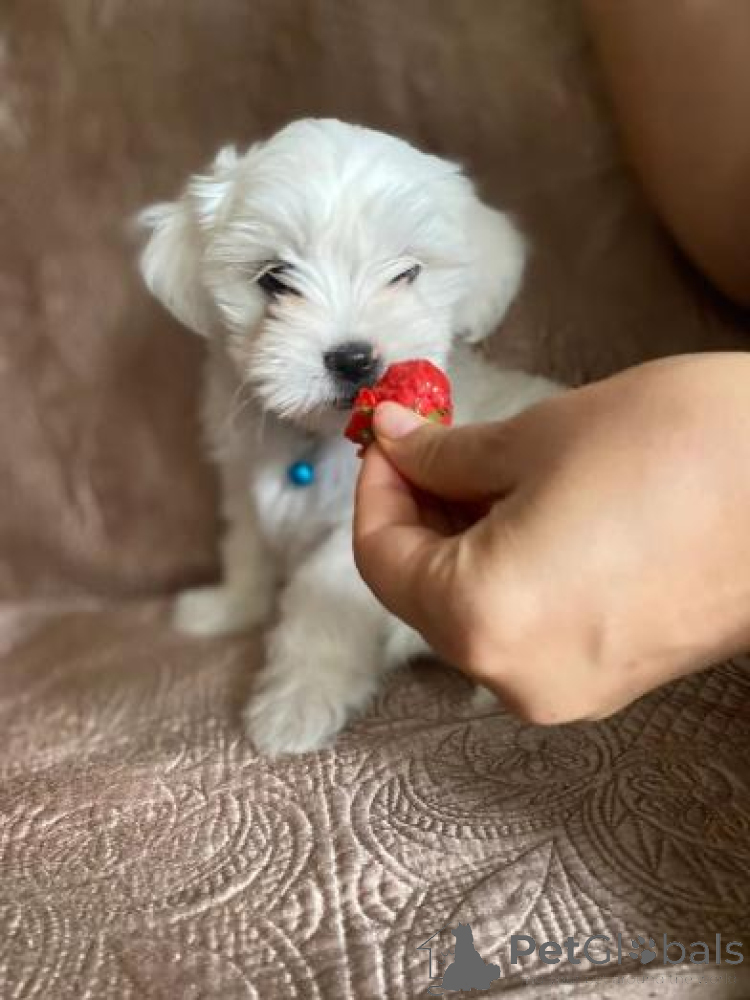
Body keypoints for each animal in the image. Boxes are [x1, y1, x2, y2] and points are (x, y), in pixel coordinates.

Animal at [139, 118, 561, 755]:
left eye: (407, 272)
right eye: (275, 279)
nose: (354, 358)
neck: (316, 437)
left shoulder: (354, 535)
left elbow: (320, 599)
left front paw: (295, 703)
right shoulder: (240, 475)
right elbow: (247, 545)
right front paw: (228, 606)